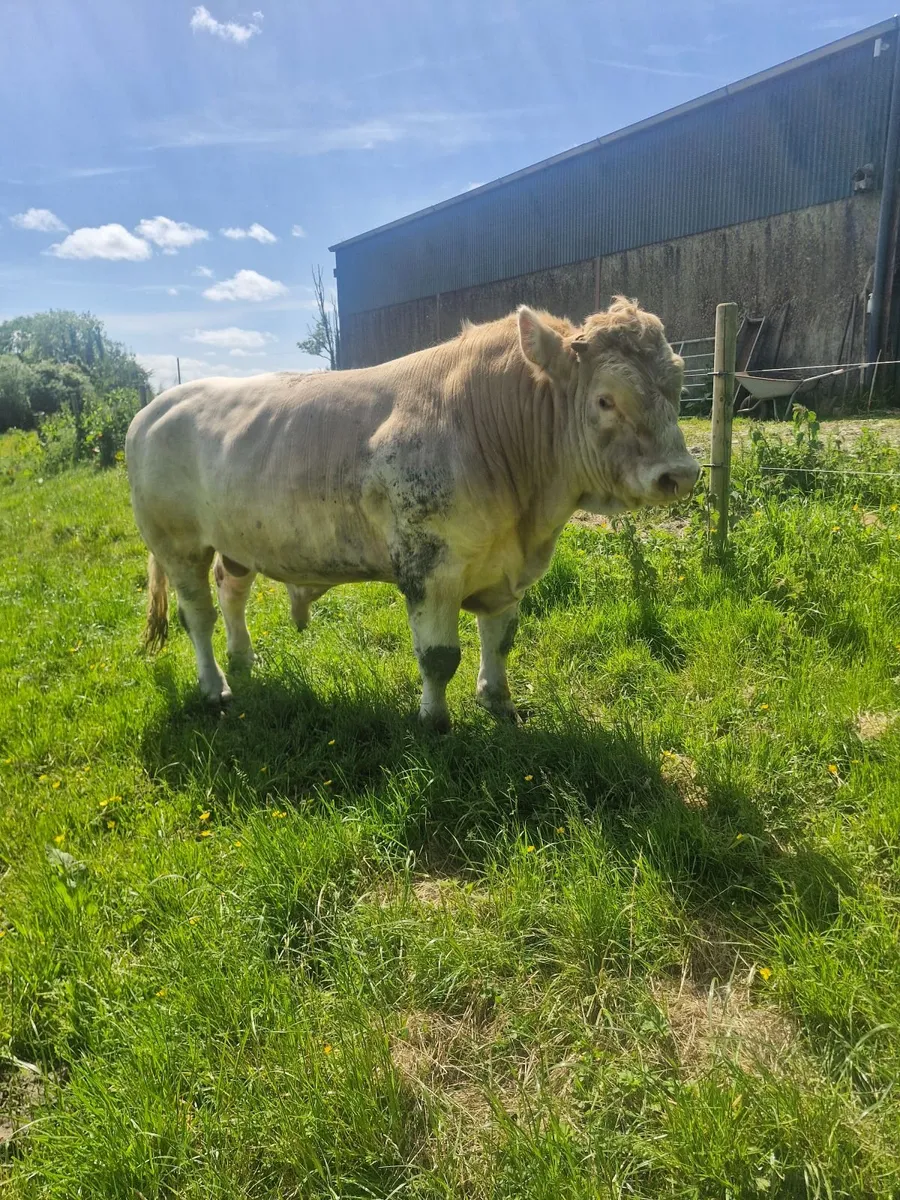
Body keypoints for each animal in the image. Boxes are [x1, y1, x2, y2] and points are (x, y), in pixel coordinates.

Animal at [126, 297, 699, 731]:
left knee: (232, 592)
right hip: (177, 543)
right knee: (197, 614)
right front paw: (435, 721)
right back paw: (215, 686)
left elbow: (501, 640)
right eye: (606, 400)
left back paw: (244, 659)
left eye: (676, 387)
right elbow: (439, 657)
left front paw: (499, 702)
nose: (680, 474)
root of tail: (154, 407)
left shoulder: (505, 570)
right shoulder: (431, 568)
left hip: (237, 538)